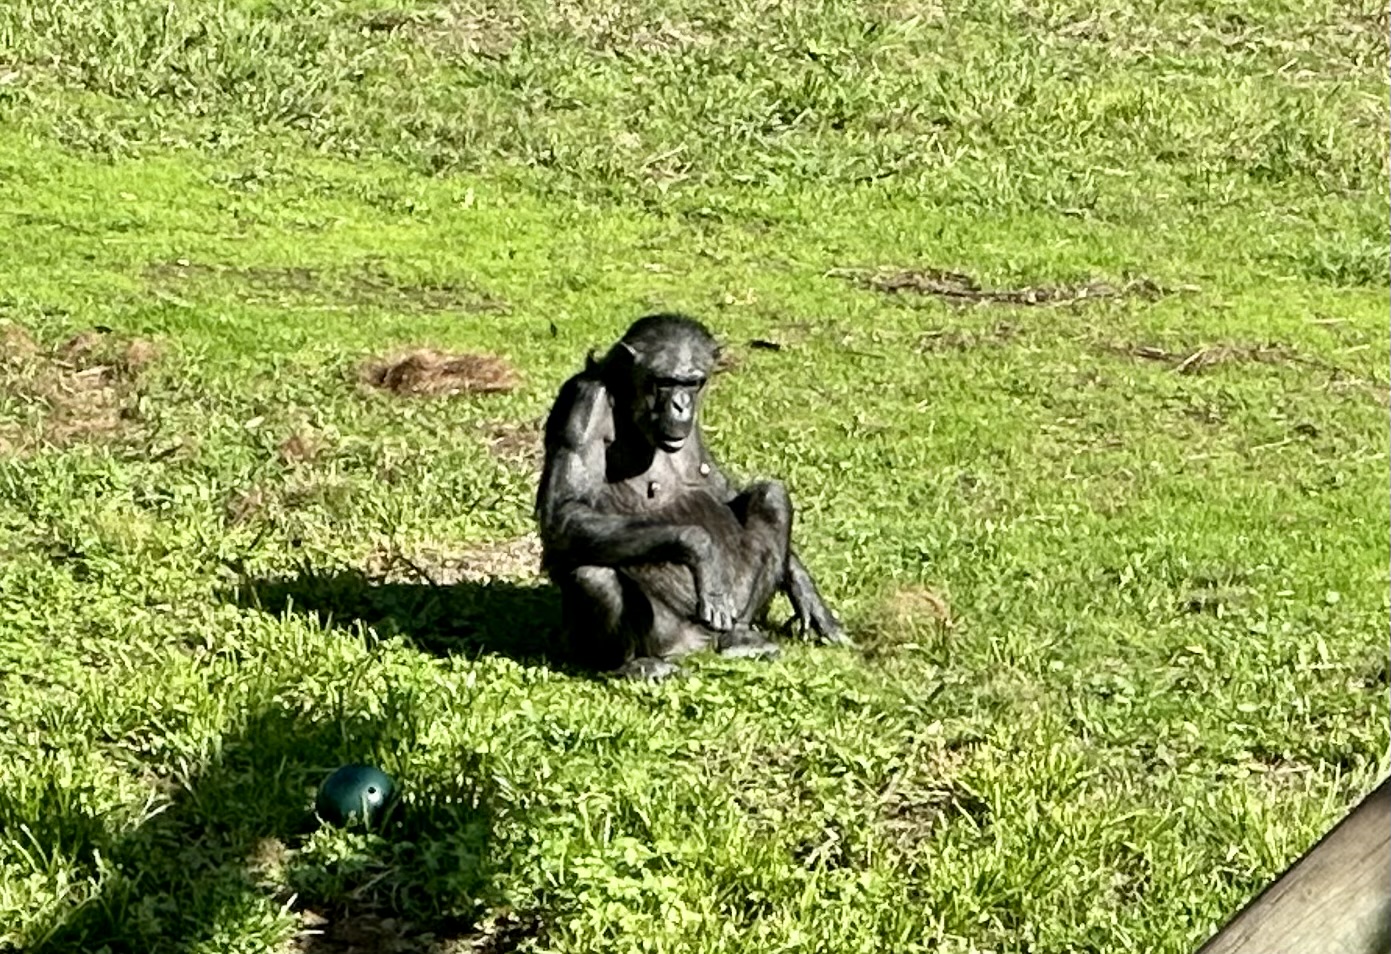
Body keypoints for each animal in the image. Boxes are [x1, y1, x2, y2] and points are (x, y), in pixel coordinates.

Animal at [535, 313, 848, 680]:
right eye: (664, 381)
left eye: (693, 383)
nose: (681, 405)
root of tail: (698, 643)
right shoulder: (582, 404)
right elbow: (564, 512)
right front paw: (700, 548)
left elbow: (726, 493)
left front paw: (808, 596)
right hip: (664, 634)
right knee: (592, 575)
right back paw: (633, 664)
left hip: (729, 613)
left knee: (772, 497)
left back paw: (740, 637)